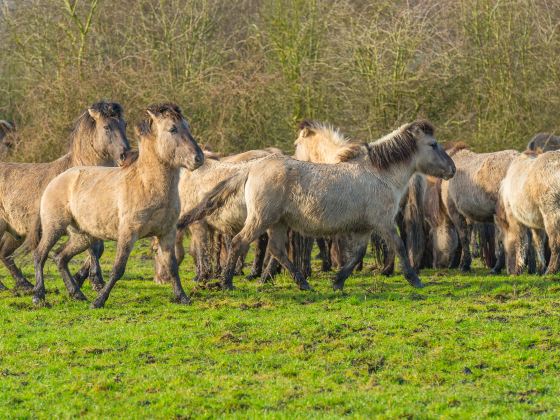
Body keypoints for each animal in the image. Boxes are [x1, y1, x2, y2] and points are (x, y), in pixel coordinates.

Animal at [0, 101, 130, 292]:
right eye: (106, 126)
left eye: (124, 124)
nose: (125, 155)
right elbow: (94, 249)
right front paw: (94, 280)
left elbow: (98, 249)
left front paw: (83, 279)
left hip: (16, 232)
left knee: (5, 254)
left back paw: (24, 284)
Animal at [28, 103, 203, 306]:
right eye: (172, 129)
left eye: (187, 126)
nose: (198, 158)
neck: (147, 185)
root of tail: (57, 179)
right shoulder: (128, 234)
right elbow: (118, 268)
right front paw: (99, 301)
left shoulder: (167, 233)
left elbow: (172, 267)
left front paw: (183, 298)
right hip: (54, 228)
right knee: (40, 255)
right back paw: (38, 296)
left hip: (82, 236)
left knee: (60, 257)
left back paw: (77, 294)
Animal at [184, 120, 456, 290]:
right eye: (433, 144)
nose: (452, 169)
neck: (380, 174)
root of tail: (252, 167)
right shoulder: (384, 223)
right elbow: (399, 246)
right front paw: (415, 280)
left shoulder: (365, 228)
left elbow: (357, 254)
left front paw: (338, 281)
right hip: (261, 219)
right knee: (240, 242)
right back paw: (227, 282)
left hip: (277, 223)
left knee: (277, 250)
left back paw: (303, 283)